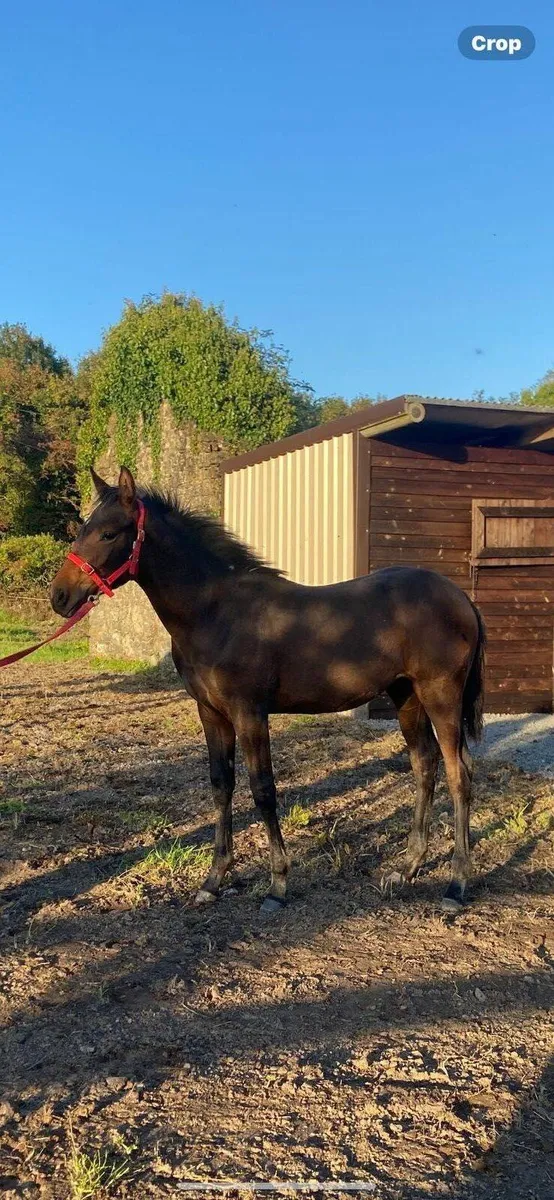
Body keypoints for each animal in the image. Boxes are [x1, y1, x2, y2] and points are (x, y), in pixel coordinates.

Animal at [50, 466, 486, 914]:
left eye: (108, 533)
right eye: (83, 528)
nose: (60, 597)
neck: (217, 613)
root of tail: (461, 599)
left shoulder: (249, 713)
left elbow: (263, 790)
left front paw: (278, 885)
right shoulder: (211, 713)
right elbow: (221, 785)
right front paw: (214, 881)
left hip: (441, 696)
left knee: (459, 774)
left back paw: (456, 885)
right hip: (406, 697)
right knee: (425, 765)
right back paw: (407, 868)